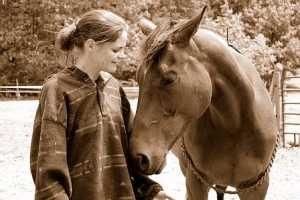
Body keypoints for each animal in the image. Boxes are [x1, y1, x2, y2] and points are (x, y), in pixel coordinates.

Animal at [129, 6, 278, 200]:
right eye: (138, 78)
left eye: (168, 79)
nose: (137, 157)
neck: (236, 126)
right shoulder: (196, 182)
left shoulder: (255, 188)